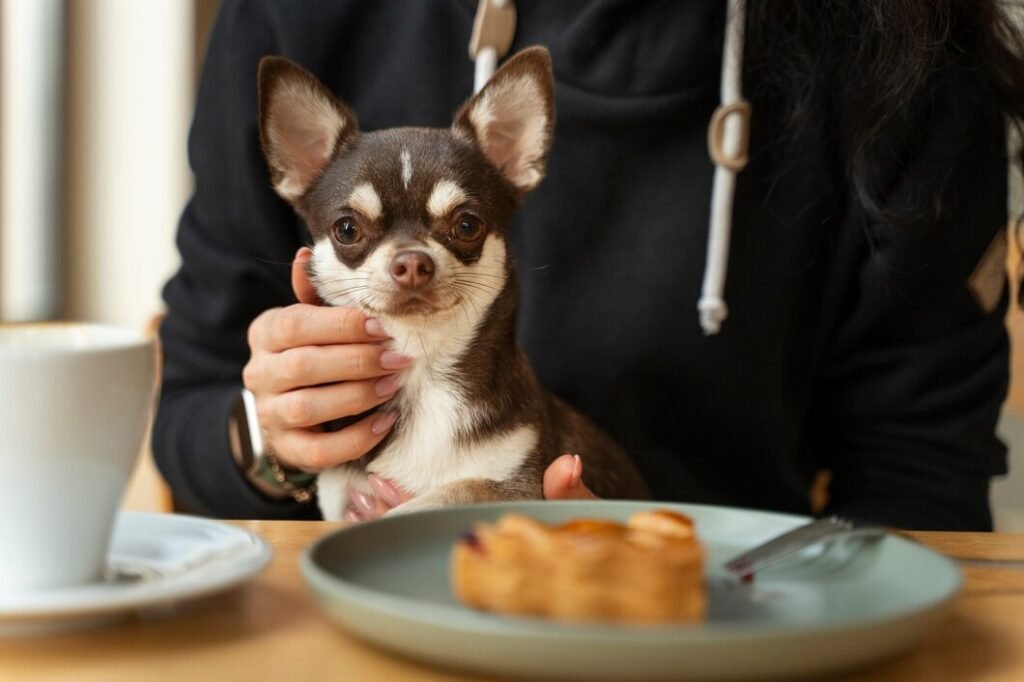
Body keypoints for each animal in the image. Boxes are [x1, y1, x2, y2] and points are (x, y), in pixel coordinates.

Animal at [260, 45, 651, 518]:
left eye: (467, 225)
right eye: (347, 229)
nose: (412, 262)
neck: (423, 366)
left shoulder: (519, 485)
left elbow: (452, 491)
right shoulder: (341, 496)